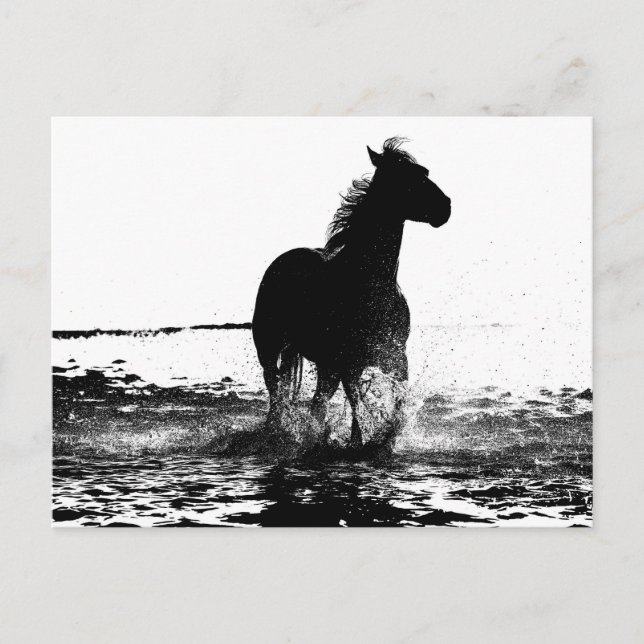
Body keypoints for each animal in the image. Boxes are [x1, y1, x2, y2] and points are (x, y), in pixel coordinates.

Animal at [252, 137, 451, 449]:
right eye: (407, 178)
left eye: (424, 171)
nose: (446, 207)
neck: (370, 282)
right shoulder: (349, 361)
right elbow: (356, 402)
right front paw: (359, 441)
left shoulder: (396, 357)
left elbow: (397, 400)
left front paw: (385, 437)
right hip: (270, 349)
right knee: (277, 394)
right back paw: (278, 431)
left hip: (325, 365)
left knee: (316, 403)